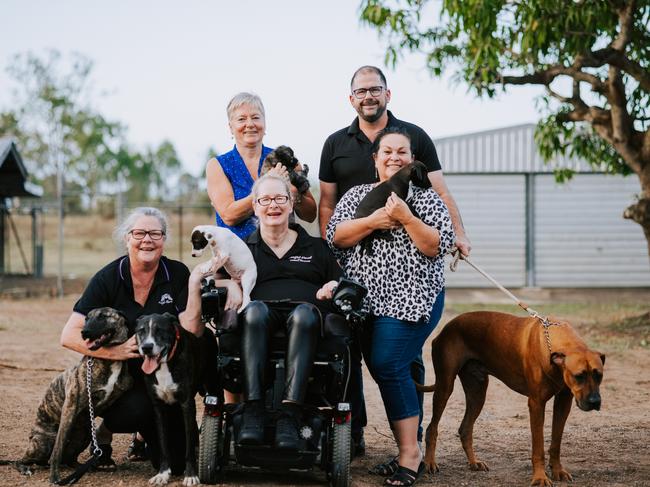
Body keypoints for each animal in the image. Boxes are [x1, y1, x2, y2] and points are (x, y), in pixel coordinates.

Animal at [135, 314, 206, 486]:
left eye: (160, 330)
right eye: (141, 331)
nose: (146, 347)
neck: (164, 365)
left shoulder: (187, 404)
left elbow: (188, 445)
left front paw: (191, 475)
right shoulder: (158, 408)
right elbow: (163, 443)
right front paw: (163, 473)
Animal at [422, 312, 604, 487]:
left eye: (599, 375)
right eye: (578, 376)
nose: (595, 402)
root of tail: (446, 328)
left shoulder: (564, 402)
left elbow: (556, 442)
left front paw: (558, 470)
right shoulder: (536, 404)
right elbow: (538, 448)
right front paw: (540, 477)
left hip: (477, 393)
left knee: (465, 429)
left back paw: (474, 462)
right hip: (445, 386)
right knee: (432, 427)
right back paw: (430, 463)